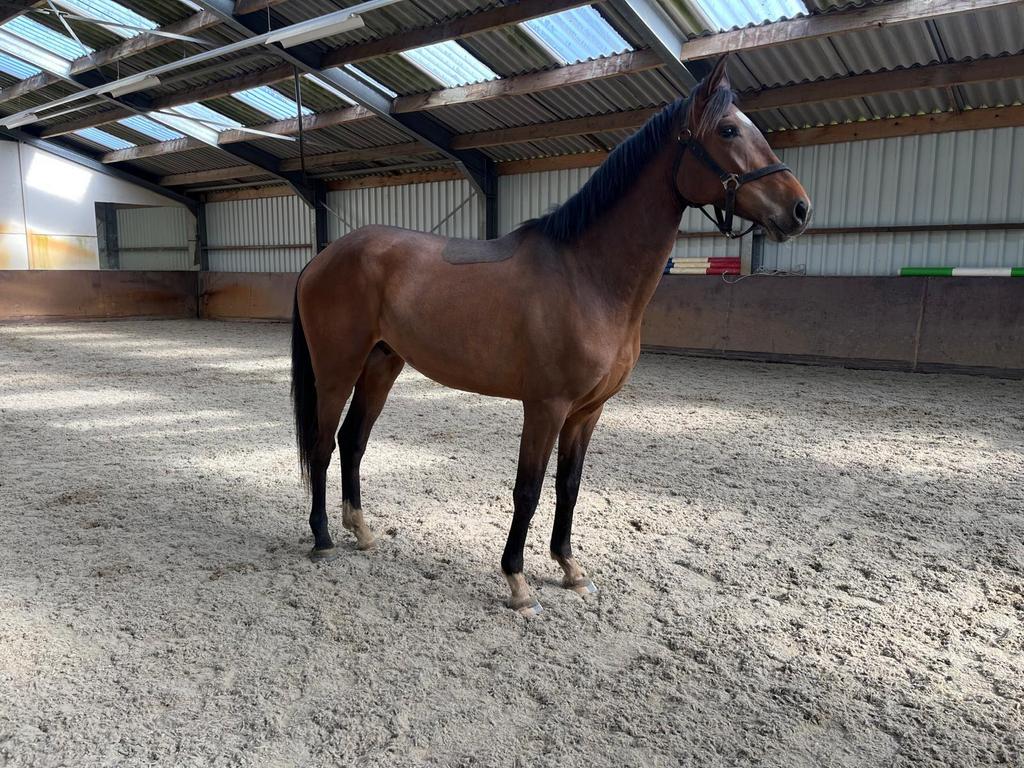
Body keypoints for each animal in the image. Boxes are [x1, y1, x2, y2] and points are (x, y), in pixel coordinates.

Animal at [290, 57, 811, 616]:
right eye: (729, 129)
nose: (800, 210)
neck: (586, 276)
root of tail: (323, 257)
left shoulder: (586, 412)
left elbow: (569, 486)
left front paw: (570, 569)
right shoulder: (546, 406)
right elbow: (529, 489)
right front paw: (517, 582)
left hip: (382, 363)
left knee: (353, 441)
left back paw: (361, 532)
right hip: (337, 369)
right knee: (323, 443)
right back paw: (322, 538)